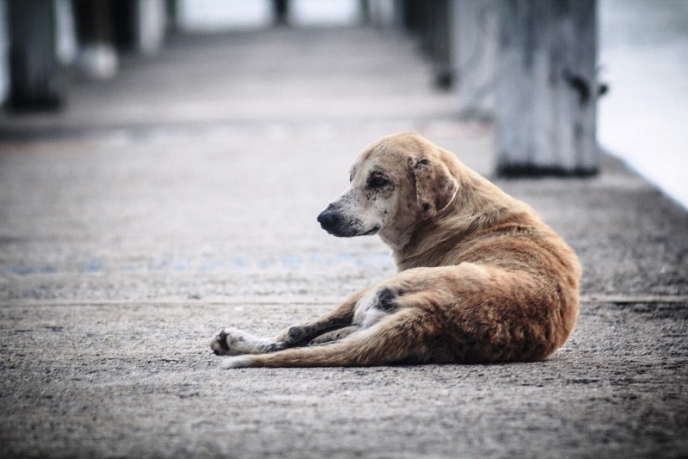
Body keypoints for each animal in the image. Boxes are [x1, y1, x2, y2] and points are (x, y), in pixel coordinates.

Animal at [210, 134, 580, 370]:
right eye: (351, 178)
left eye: (378, 180)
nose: (323, 218)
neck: (449, 212)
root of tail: (431, 316)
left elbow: (299, 331)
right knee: (319, 341)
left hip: (371, 292)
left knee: (295, 337)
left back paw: (236, 342)